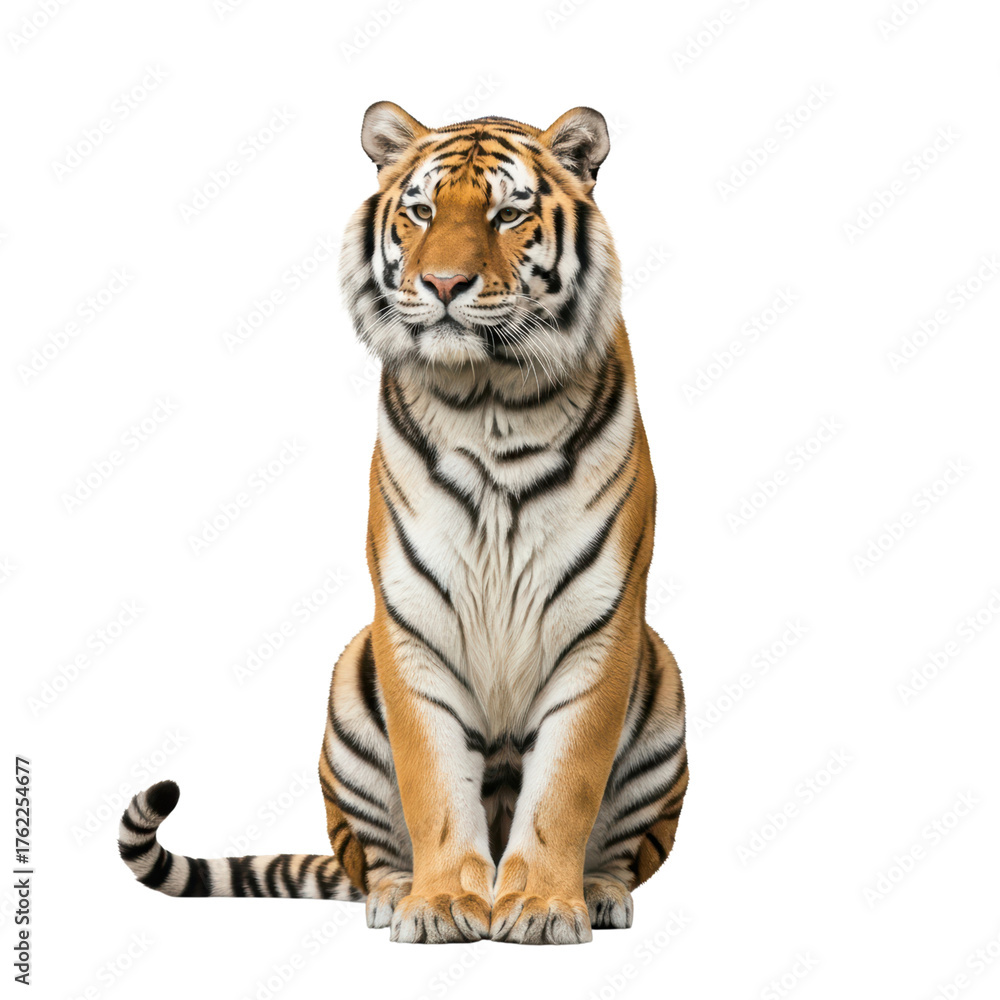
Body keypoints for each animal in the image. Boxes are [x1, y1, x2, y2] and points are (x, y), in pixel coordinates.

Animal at [118, 102, 688, 945]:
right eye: (421, 211)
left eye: (508, 213)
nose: (444, 283)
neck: (491, 400)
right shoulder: (414, 617)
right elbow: (433, 780)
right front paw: (444, 902)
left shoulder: (600, 622)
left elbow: (566, 786)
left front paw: (543, 906)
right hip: (350, 687)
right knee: (367, 856)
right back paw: (394, 892)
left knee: (624, 850)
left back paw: (600, 891)